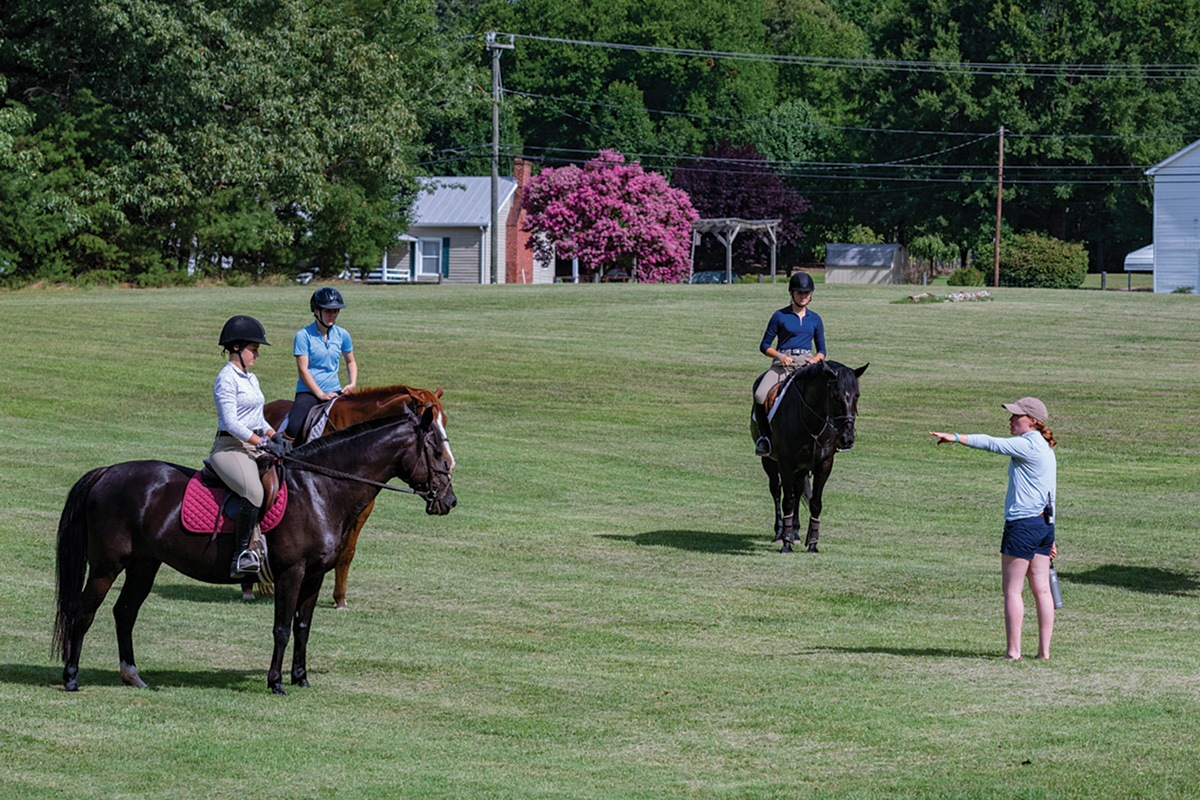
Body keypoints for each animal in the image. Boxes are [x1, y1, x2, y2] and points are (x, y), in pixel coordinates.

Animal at [51, 407, 456, 695]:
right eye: (437, 450)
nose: (449, 501)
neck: (319, 488)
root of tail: (107, 472)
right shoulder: (292, 572)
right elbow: (282, 628)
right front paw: (276, 682)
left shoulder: (314, 575)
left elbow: (303, 626)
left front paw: (301, 677)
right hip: (107, 565)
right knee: (83, 611)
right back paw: (71, 678)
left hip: (144, 564)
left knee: (124, 612)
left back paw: (132, 676)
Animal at [261, 383, 451, 609]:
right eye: (429, 421)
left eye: (444, 421)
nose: (450, 463)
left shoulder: (359, 510)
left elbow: (347, 552)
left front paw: (340, 597)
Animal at [748, 362, 864, 554]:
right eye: (835, 396)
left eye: (857, 395)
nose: (847, 439)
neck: (811, 421)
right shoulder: (786, 464)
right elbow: (787, 501)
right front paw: (786, 544)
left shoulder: (824, 464)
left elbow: (815, 503)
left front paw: (812, 543)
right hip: (769, 461)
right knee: (776, 490)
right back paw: (780, 532)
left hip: (801, 468)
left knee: (797, 490)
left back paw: (794, 533)